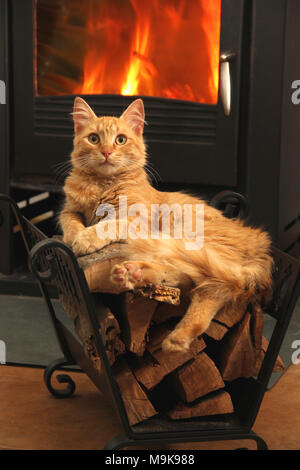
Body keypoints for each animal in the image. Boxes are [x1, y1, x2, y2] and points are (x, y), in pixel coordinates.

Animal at [59, 96, 274, 352]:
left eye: (120, 139)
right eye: (94, 139)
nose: (107, 152)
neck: (103, 184)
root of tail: (260, 245)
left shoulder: (135, 219)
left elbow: (107, 225)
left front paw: (85, 239)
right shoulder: (69, 210)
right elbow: (70, 223)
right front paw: (74, 237)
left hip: (194, 243)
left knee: (214, 288)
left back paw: (178, 337)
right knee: (184, 277)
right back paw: (131, 274)